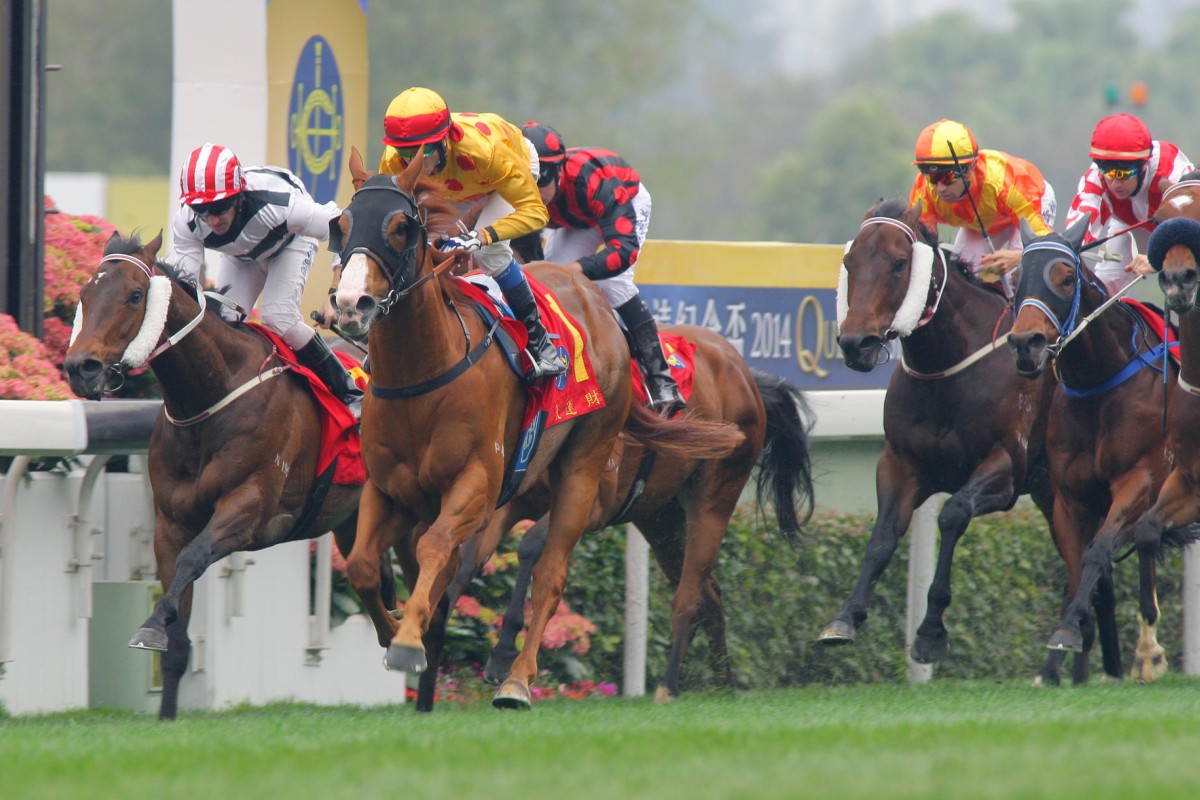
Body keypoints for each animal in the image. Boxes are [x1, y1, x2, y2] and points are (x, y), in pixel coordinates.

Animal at [63, 231, 386, 719]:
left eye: (135, 296)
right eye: (84, 293)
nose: (81, 368)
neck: (209, 396)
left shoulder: (247, 508)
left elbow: (194, 558)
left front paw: (150, 624)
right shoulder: (170, 523)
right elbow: (177, 616)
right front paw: (166, 713)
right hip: (351, 521)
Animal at [328, 148, 739, 705]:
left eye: (399, 227)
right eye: (342, 224)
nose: (351, 305)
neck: (424, 374)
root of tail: (594, 300)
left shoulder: (477, 484)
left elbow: (435, 545)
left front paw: (411, 640)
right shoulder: (389, 488)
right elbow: (364, 565)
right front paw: (397, 629)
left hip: (585, 470)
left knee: (550, 573)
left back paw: (517, 680)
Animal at [816, 199, 1089, 681]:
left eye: (899, 264)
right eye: (849, 263)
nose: (855, 343)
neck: (946, 368)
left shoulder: (1004, 469)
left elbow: (952, 514)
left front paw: (930, 633)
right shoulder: (900, 464)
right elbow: (883, 536)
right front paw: (845, 618)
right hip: (1052, 494)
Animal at [1003, 217, 1180, 681]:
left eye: (1066, 278)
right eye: (1017, 280)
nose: (1025, 343)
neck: (1100, 384)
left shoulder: (1139, 480)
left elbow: (1098, 552)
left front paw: (1067, 636)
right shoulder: (1070, 497)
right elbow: (1077, 563)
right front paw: (1058, 659)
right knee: (1148, 540)